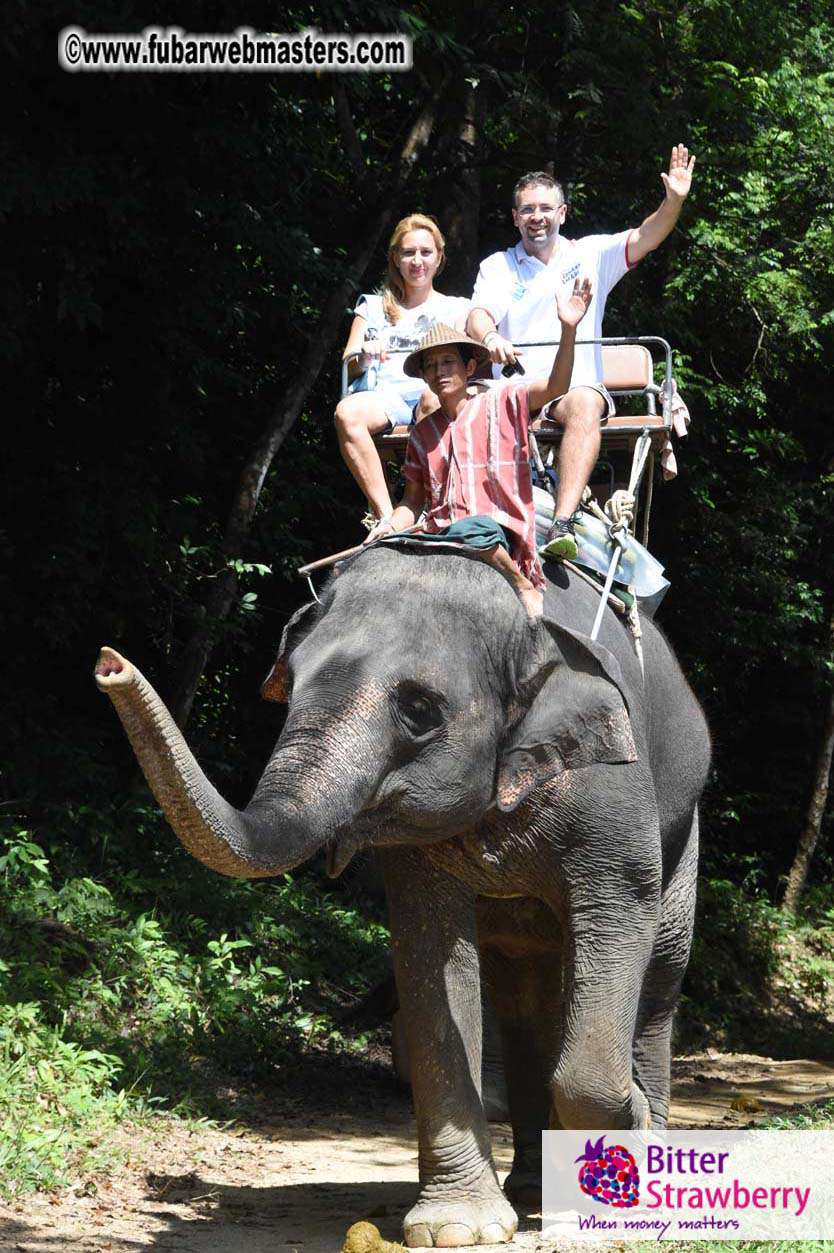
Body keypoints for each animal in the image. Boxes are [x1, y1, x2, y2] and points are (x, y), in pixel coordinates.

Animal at [95, 542, 710, 1248]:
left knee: (659, 973)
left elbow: (619, 917)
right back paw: (534, 1186)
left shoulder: (612, 791)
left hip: (686, 827)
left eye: (419, 712)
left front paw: (622, 1148)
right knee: (522, 992)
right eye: (288, 685)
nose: (109, 663)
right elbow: (430, 954)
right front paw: (458, 1228)